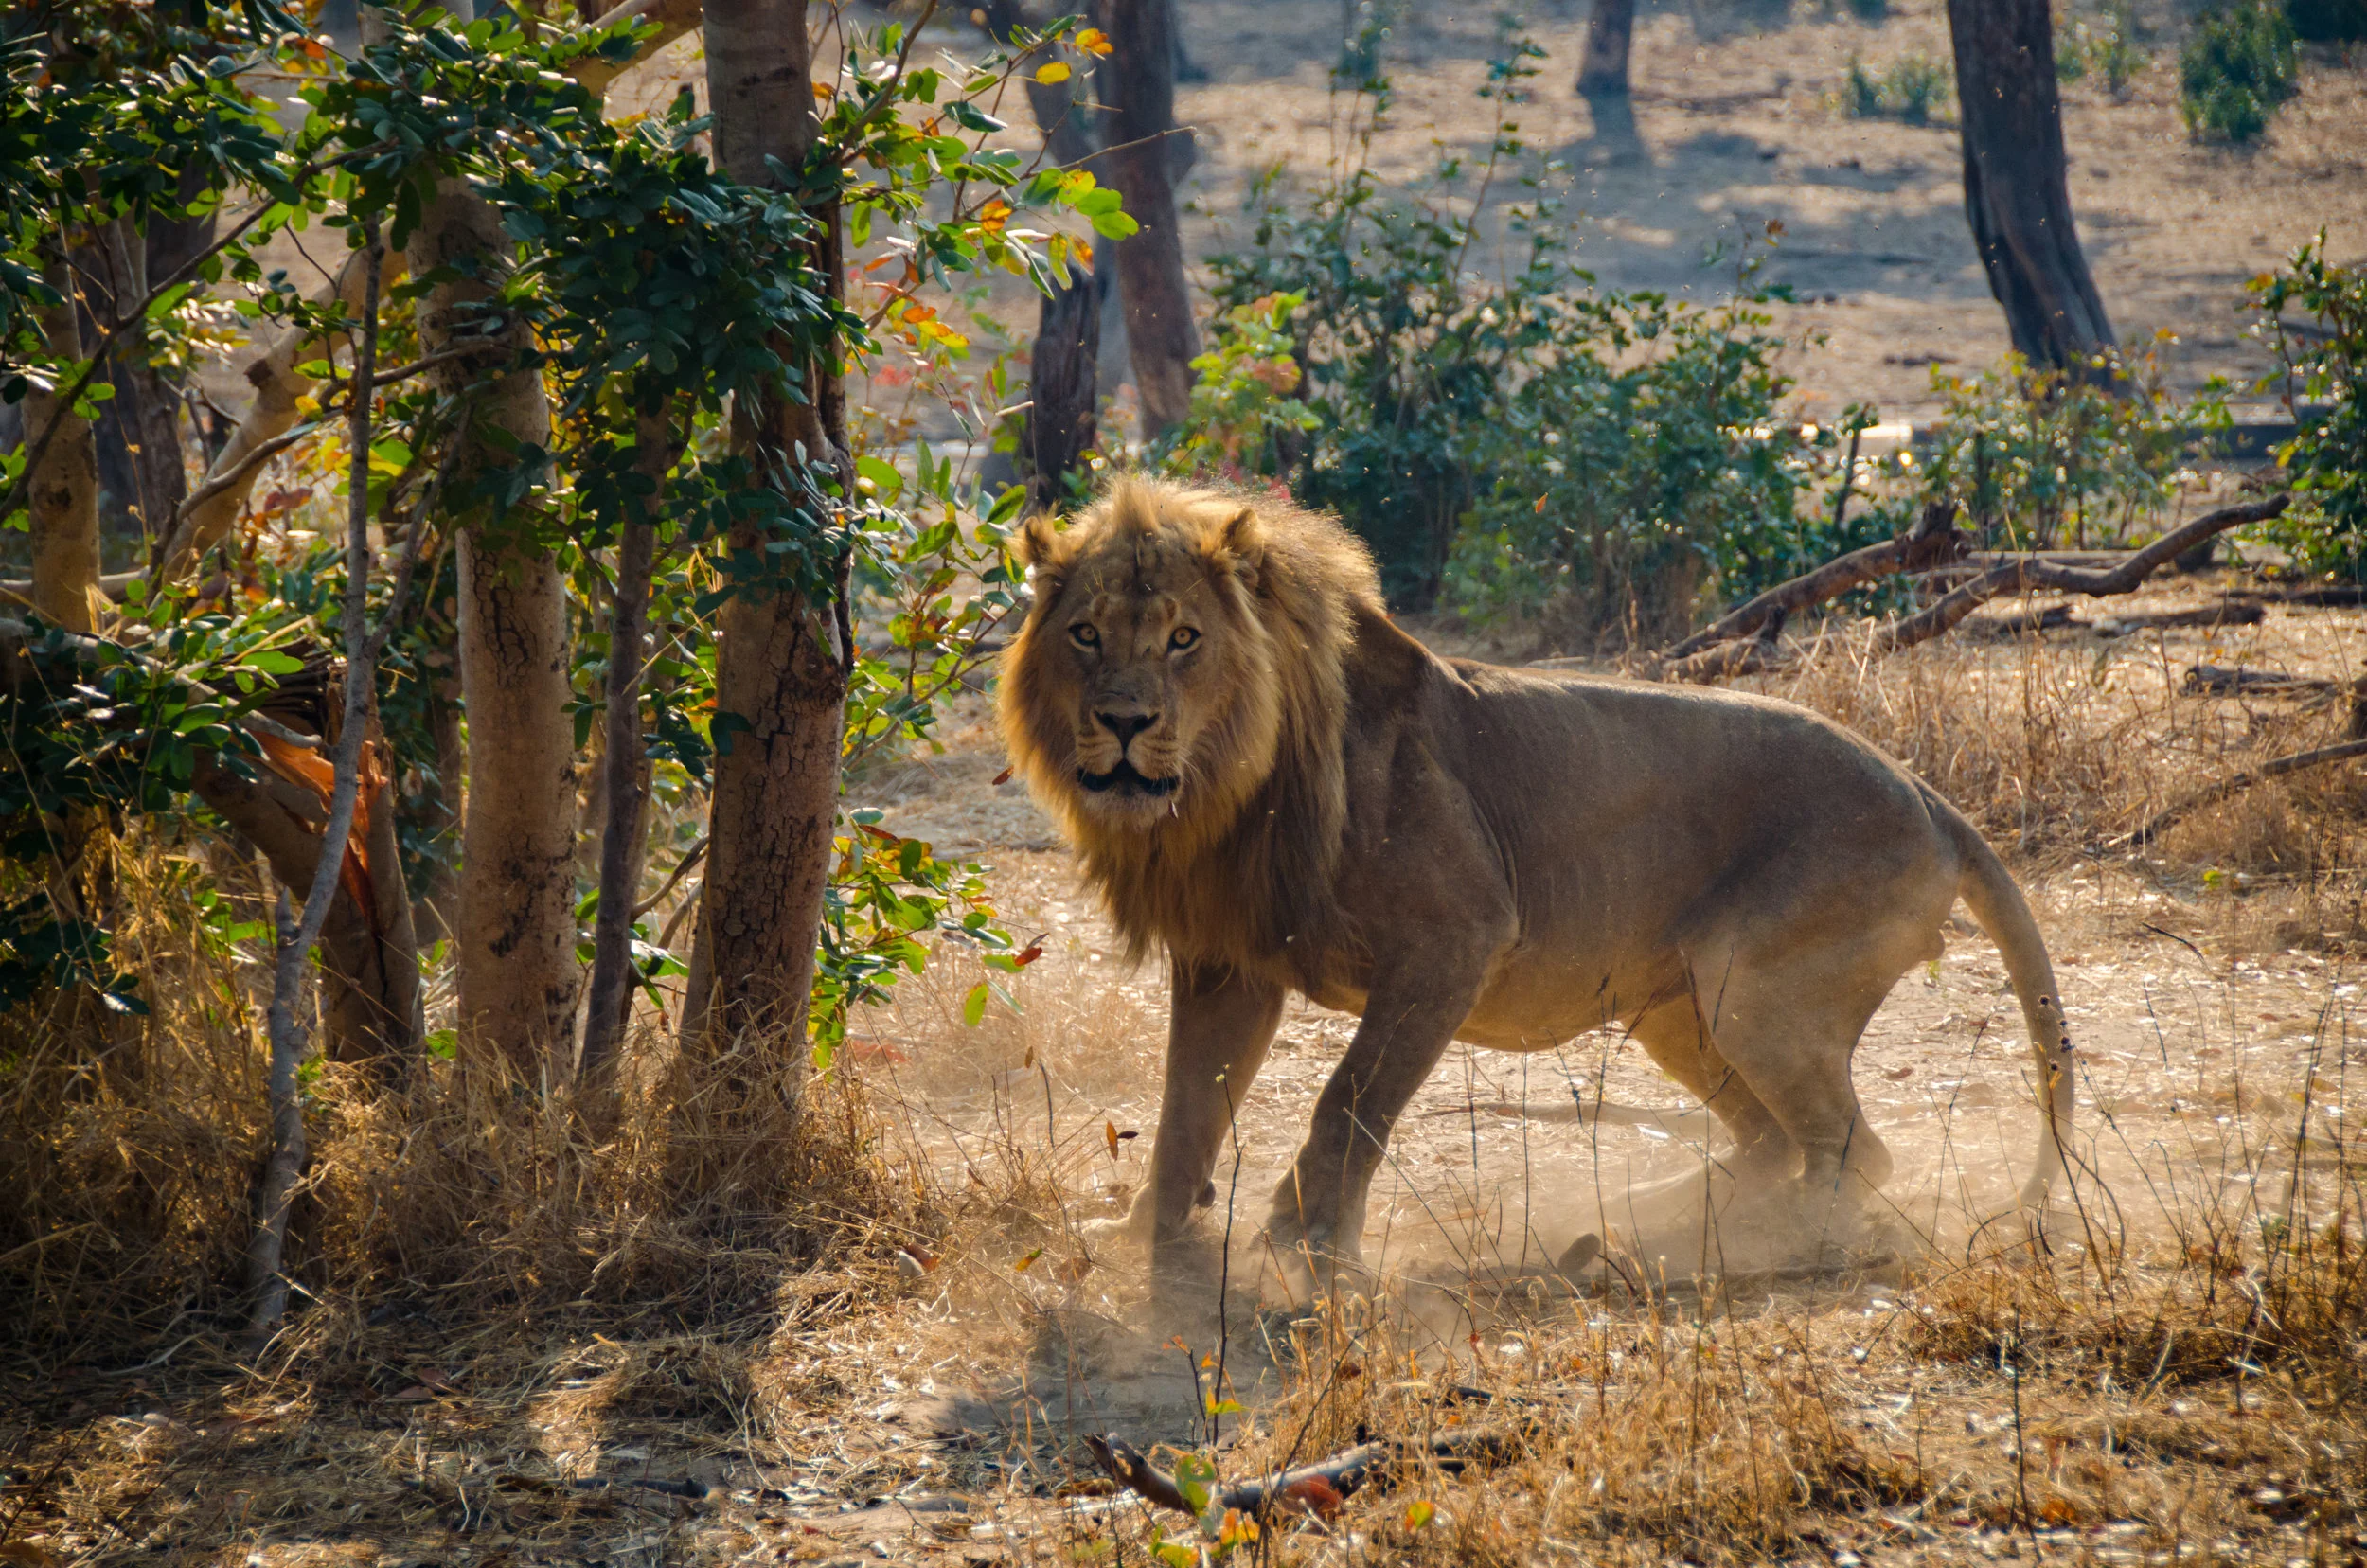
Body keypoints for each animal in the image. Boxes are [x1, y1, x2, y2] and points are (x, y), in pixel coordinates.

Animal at [997, 478, 2075, 1276]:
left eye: (1184, 638)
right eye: (1085, 633)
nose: (1125, 721)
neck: (1223, 792)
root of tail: (1931, 798)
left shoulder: (1455, 941)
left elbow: (1347, 1102)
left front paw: (1303, 1244)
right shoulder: (1229, 964)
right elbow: (1186, 1108)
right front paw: (1148, 1234)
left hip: (1749, 986)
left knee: (1852, 1155)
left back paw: (1714, 1245)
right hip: (1676, 1010)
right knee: (1783, 1146)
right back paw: (1638, 1215)